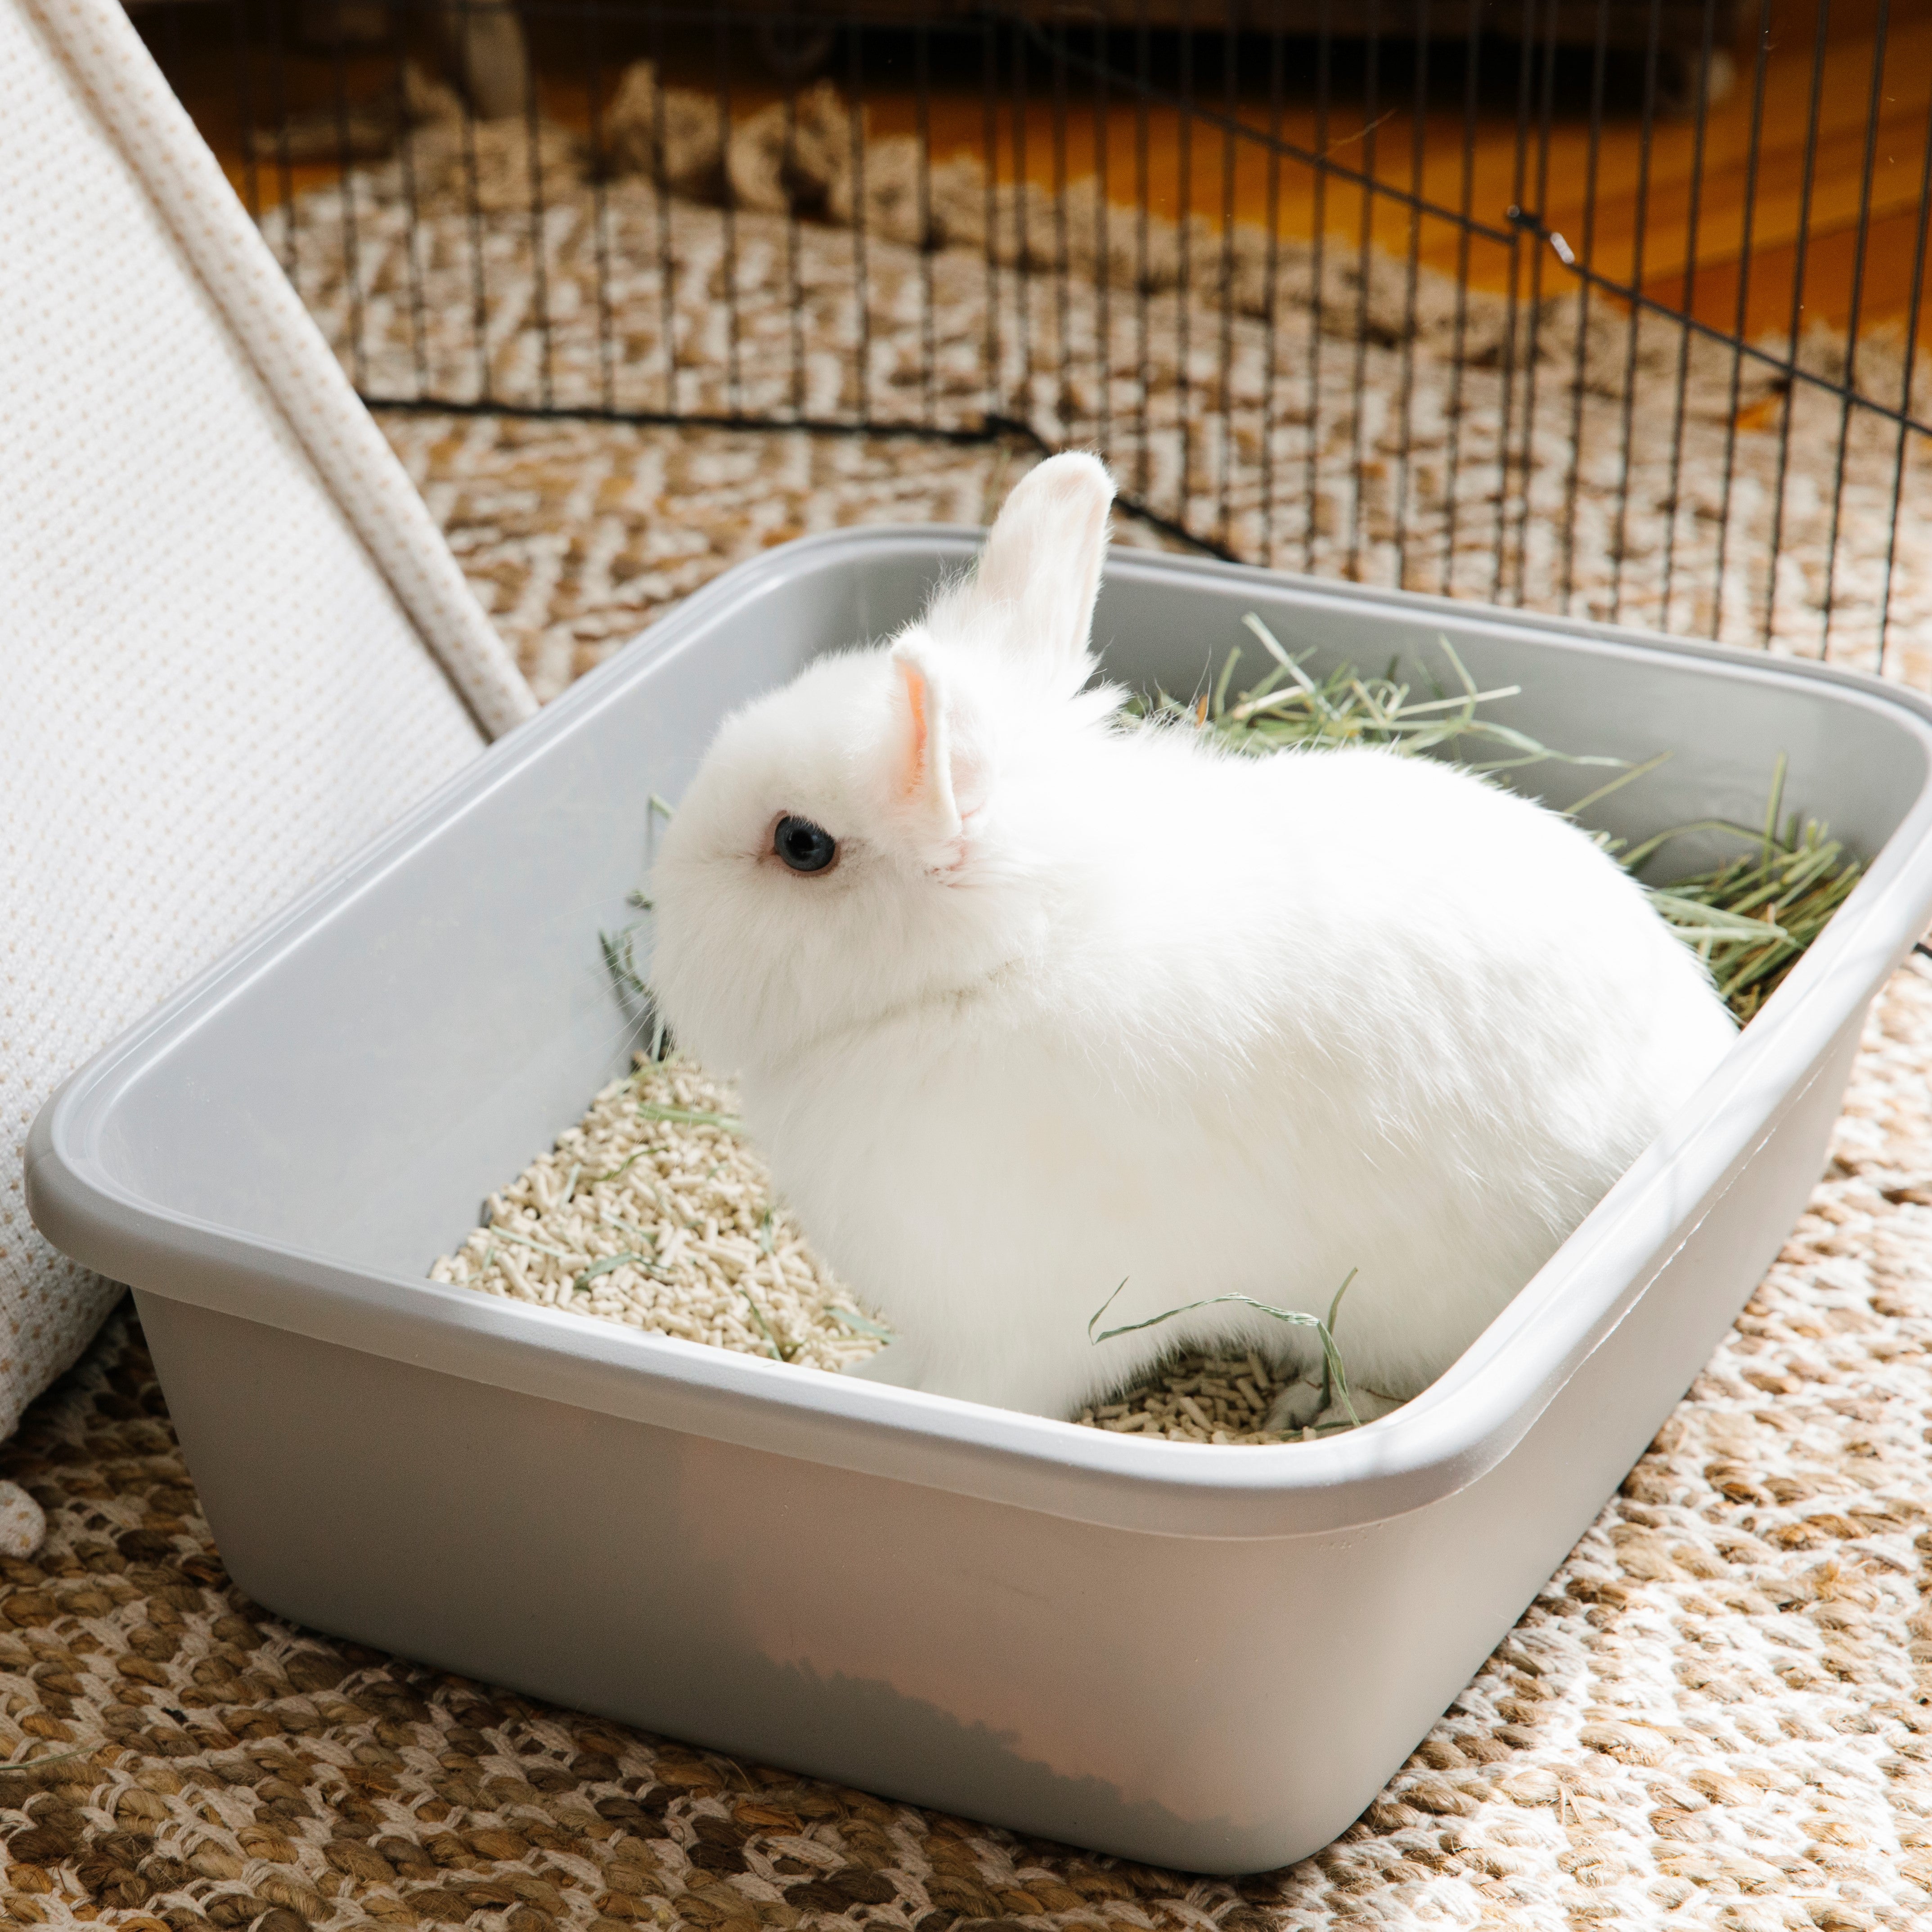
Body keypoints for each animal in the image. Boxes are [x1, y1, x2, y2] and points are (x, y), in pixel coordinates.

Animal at [647, 452, 1738, 1431]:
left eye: (802, 844)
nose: (661, 939)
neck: (998, 962)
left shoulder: (1032, 1320)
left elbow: (974, 1392)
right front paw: (866, 1372)